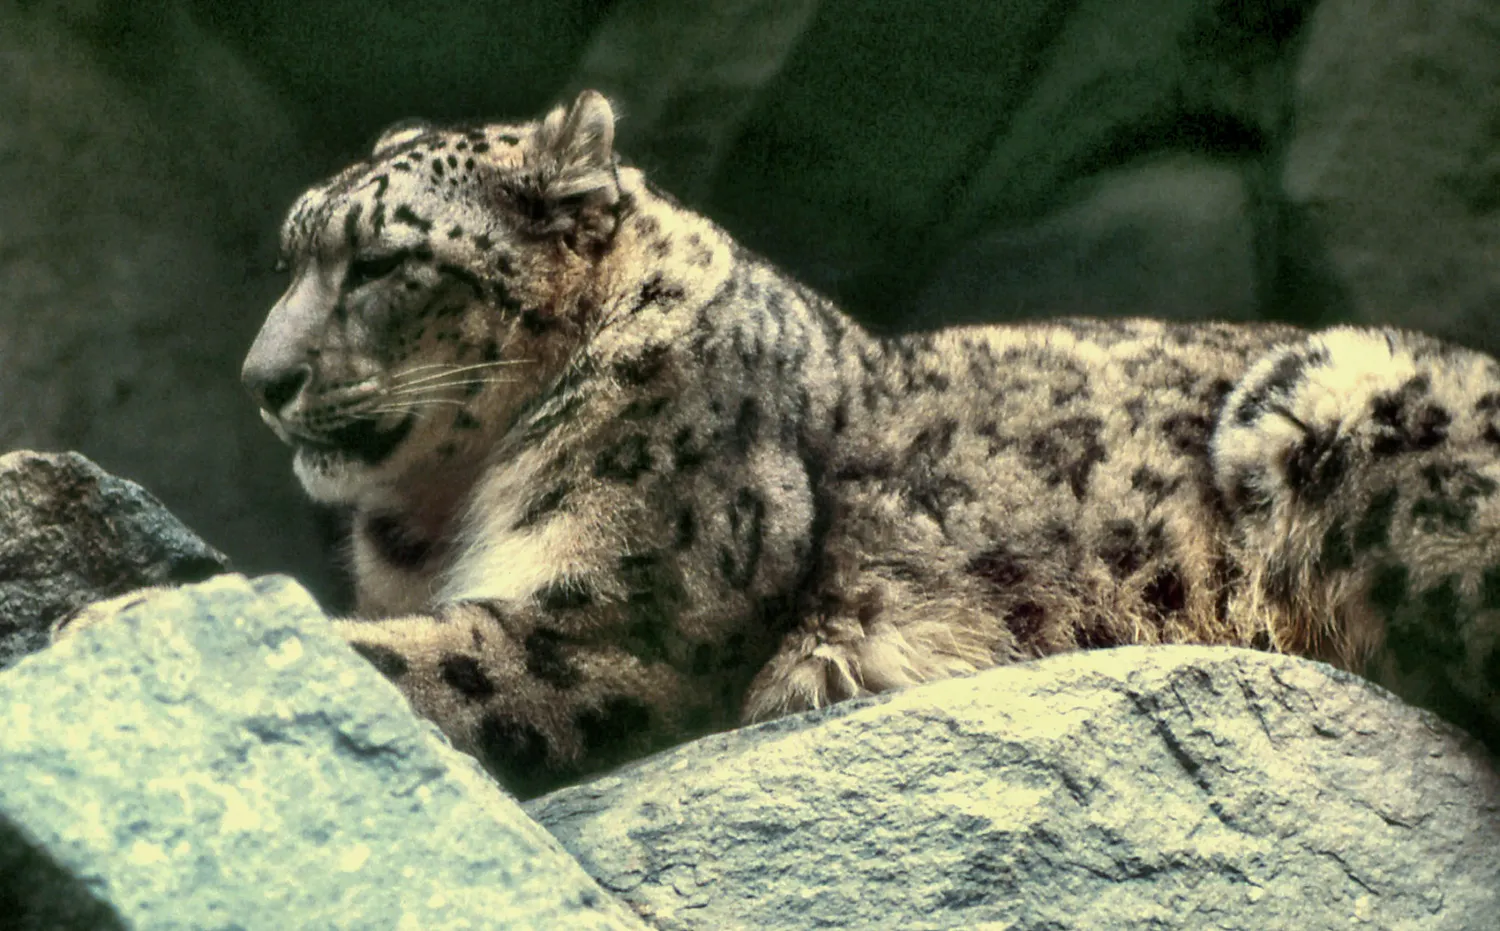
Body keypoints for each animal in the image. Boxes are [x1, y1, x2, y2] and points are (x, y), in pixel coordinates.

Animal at [232, 90, 1500, 798]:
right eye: (289, 255)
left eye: (381, 262)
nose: (261, 379)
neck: (437, 510)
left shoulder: (609, 627)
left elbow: (402, 659)